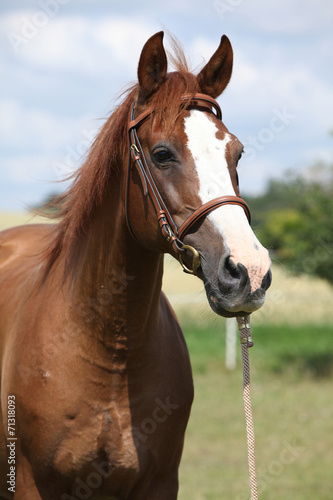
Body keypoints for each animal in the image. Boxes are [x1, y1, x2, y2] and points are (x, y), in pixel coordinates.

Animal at [0, 32, 270, 500]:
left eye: (236, 153)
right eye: (161, 154)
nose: (249, 271)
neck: (107, 351)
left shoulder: (160, 483)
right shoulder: (30, 484)